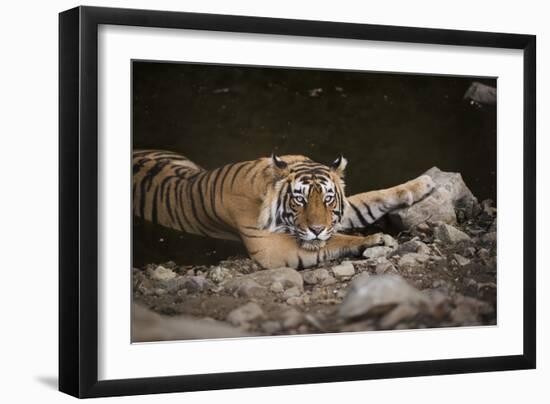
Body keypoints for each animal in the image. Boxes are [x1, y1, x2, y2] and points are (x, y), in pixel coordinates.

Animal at [134, 150, 436, 270]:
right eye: (299, 200)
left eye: (328, 198)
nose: (316, 230)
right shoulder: (271, 248)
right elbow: (339, 240)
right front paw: (375, 239)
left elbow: (373, 198)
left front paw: (423, 184)